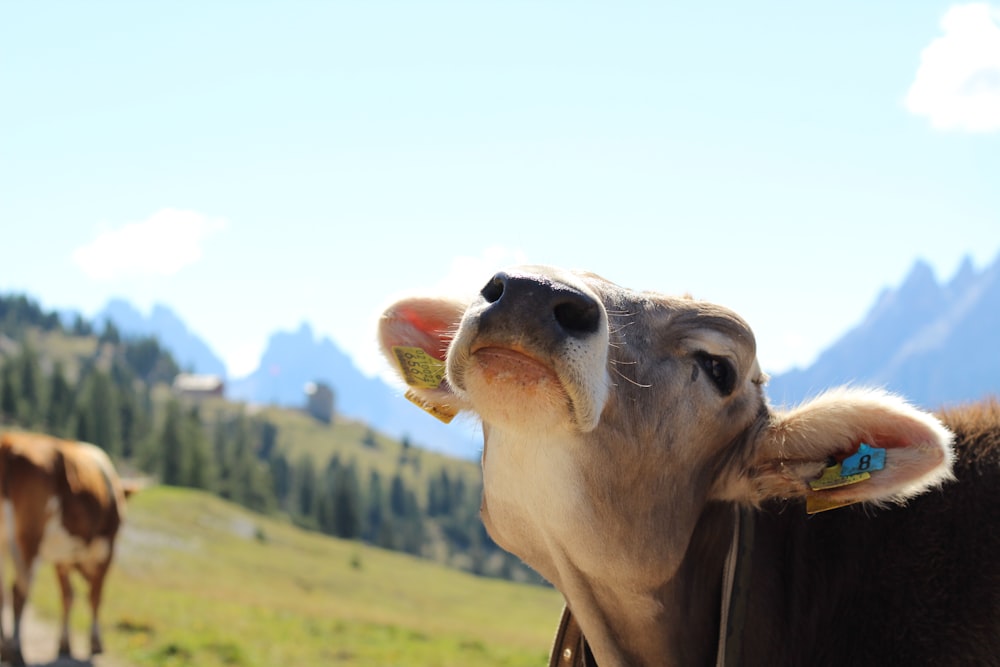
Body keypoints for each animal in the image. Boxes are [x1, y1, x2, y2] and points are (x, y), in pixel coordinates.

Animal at [0, 430, 130, 664]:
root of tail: (10, 441)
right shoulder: (107, 549)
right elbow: (95, 596)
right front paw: (95, 643)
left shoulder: (63, 558)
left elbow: (67, 596)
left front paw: (64, 645)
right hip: (30, 536)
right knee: (19, 590)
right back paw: (16, 650)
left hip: (6, 540)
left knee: (3, 592)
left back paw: (5, 647)